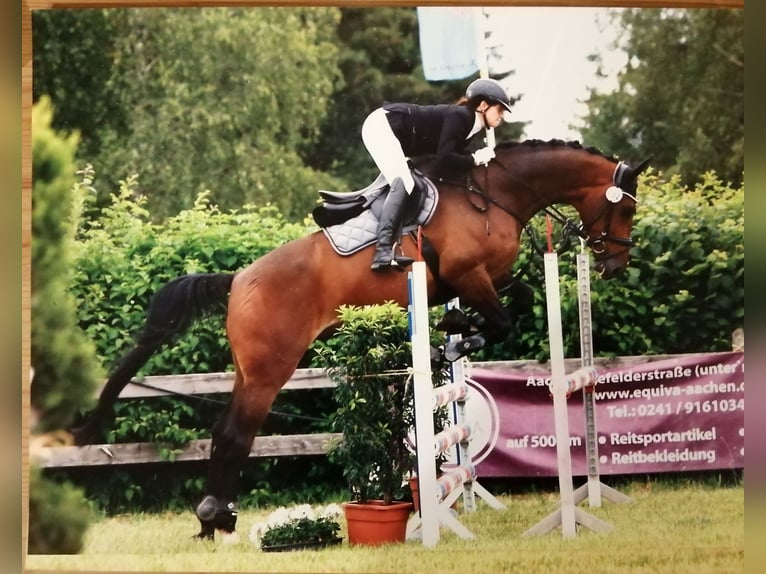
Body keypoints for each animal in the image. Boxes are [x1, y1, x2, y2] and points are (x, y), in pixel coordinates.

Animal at [71, 139, 649, 540]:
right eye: (625, 208)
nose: (616, 265)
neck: (495, 197)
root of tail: (238, 280)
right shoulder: (468, 276)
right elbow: (502, 320)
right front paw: (456, 338)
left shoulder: (487, 280)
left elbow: (518, 301)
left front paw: (455, 334)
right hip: (270, 368)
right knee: (236, 434)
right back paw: (216, 518)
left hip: (249, 369)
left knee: (224, 432)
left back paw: (217, 518)